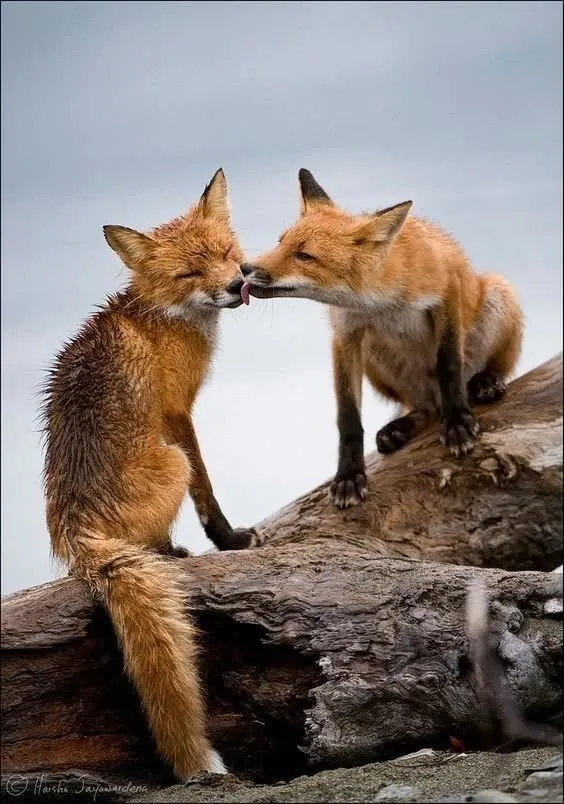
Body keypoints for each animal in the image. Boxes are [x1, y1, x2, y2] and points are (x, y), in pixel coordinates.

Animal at [40, 168, 259, 780]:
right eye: (190, 272)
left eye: (225, 252)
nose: (237, 284)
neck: (164, 315)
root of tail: (74, 527)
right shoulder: (178, 415)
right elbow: (208, 488)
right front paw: (228, 539)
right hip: (170, 461)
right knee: (153, 535)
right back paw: (170, 552)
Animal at [241, 168, 523, 509]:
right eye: (280, 242)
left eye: (304, 256)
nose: (244, 268)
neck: (381, 302)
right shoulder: (345, 334)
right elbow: (348, 417)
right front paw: (349, 475)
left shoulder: (447, 293)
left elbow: (448, 366)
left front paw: (458, 422)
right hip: (375, 358)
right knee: (425, 407)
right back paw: (400, 427)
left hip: (499, 291)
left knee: (474, 377)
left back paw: (485, 382)